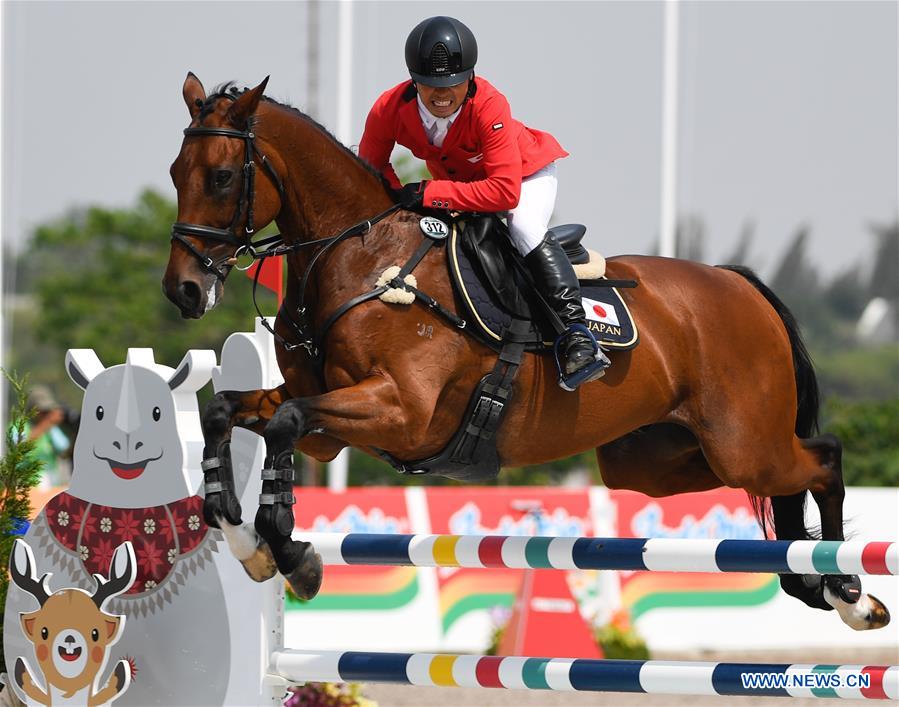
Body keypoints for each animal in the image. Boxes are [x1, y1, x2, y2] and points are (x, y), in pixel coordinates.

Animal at [163, 74, 892, 632]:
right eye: (175, 173)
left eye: (222, 176)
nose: (183, 290)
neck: (361, 259)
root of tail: (738, 283)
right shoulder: (328, 428)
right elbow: (231, 412)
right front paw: (245, 539)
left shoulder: (400, 411)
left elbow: (285, 424)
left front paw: (290, 551)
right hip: (657, 459)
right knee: (782, 480)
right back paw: (812, 581)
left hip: (743, 440)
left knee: (822, 458)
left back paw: (850, 592)